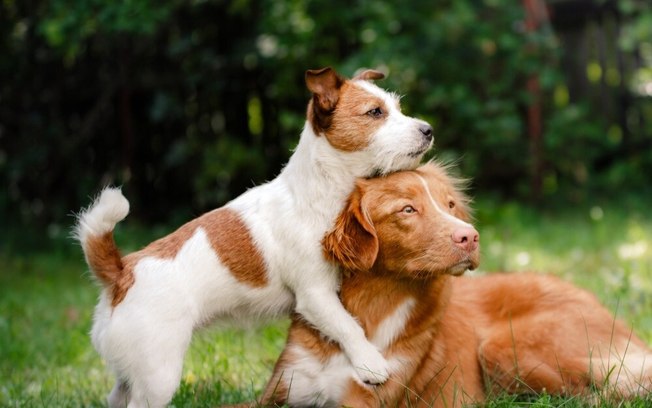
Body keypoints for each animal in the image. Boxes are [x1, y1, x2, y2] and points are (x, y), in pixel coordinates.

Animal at [74, 67, 432, 408]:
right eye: (375, 112)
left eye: (398, 108)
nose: (427, 129)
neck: (319, 190)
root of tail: (122, 273)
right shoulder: (315, 294)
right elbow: (348, 325)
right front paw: (371, 363)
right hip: (158, 374)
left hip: (133, 370)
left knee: (116, 396)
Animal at [258, 162, 652, 404]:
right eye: (407, 209)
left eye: (449, 204)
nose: (471, 237)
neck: (372, 307)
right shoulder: (280, 389)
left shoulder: (366, 400)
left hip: (503, 347)